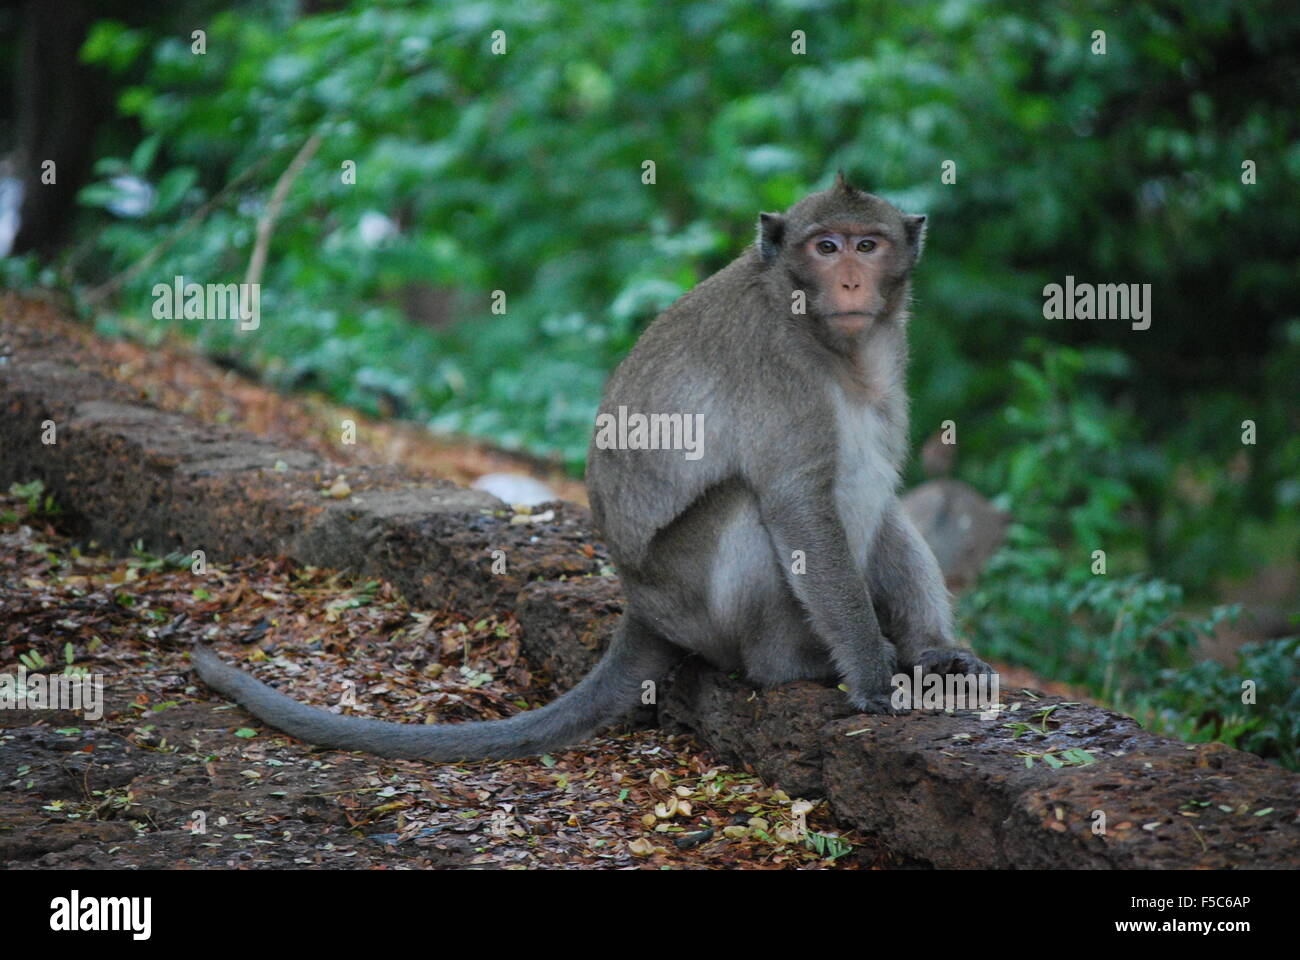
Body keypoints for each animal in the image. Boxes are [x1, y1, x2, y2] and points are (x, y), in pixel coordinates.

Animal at [189, 171, 993, 754]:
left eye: (868, 244)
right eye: (826, 248)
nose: (852, 280)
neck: (832, 342)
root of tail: (639, 608)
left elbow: (879, 493)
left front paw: (930, 651)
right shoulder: (778, 369)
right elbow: (798, 502)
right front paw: (871, 675)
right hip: (687, 598)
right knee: (746, 507)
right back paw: (792, 664)